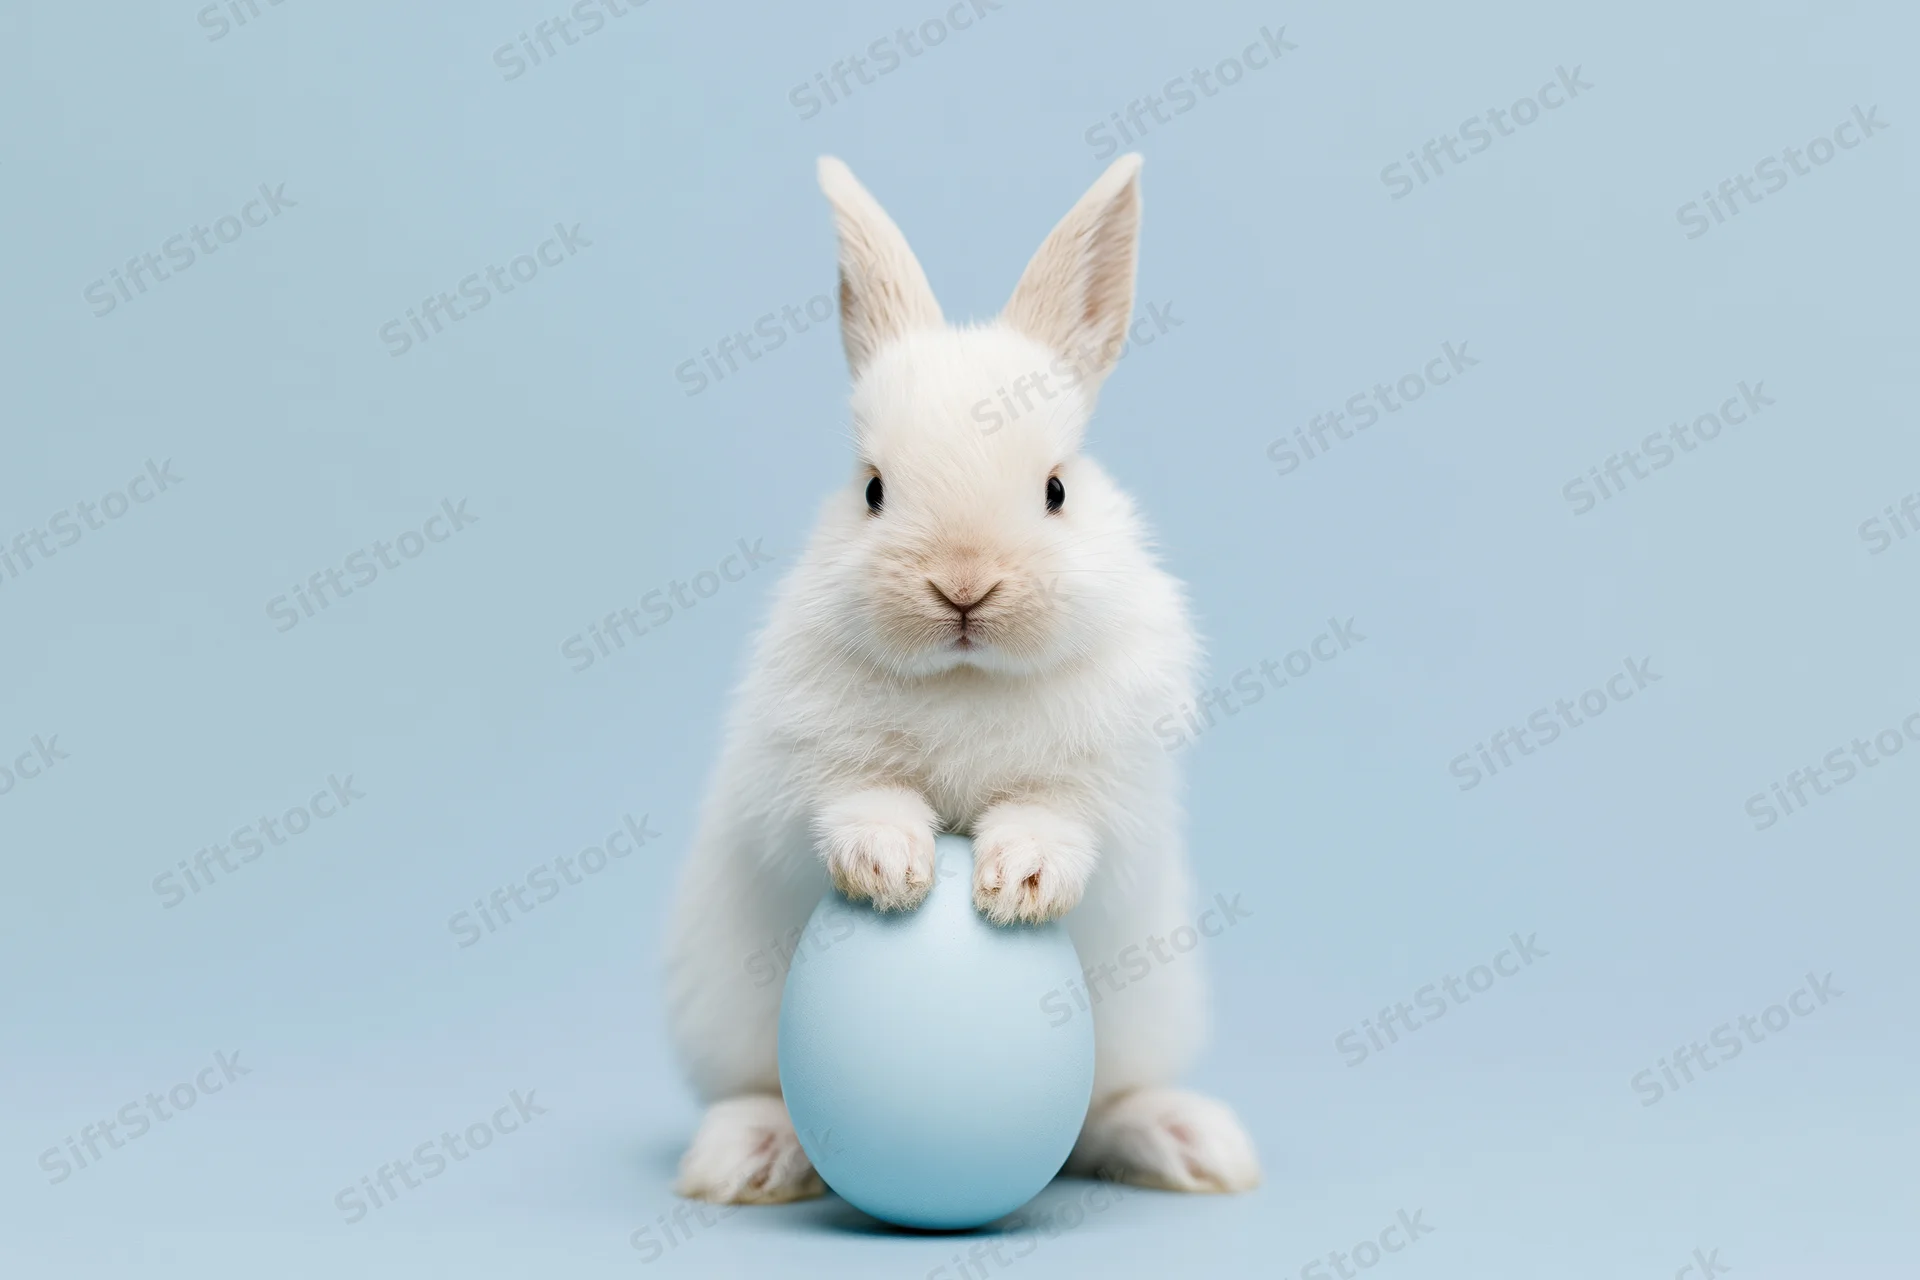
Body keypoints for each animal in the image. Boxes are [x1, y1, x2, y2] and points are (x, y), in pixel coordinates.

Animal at [662, 153, 1259, 1204]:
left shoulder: (1108, 791)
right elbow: (854, 800)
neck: (968, 678)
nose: (963, 585)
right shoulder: (796, 774)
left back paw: (1189, 1141)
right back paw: (747, 1157)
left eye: (1057, 490)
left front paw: (1017, 882)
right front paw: (892, 869)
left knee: (1104, 1115)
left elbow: (1059, 820)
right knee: (753, 1089)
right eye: (872, 489)